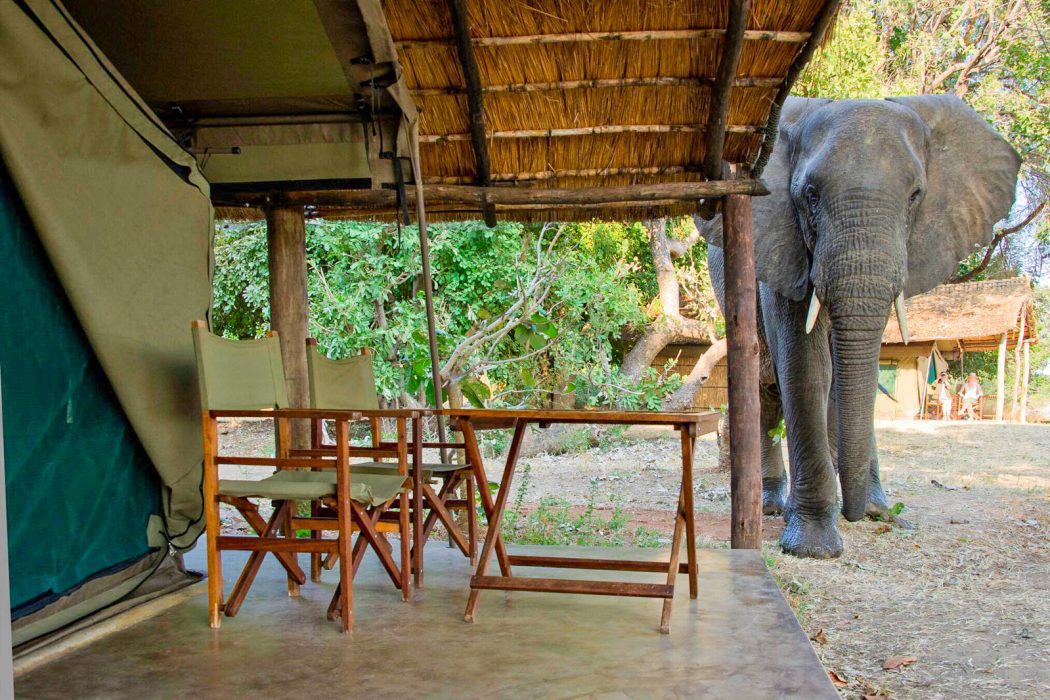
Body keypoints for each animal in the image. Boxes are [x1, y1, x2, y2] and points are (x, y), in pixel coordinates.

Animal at [700, 95, 1020, 558]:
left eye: (916, 195)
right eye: (810, 195)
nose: (856, 515)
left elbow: (851, 375)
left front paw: (876, 512)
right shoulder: (782, 246)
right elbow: (807, 370)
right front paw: (813, 547)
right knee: (766, 390)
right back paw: (771, 507)